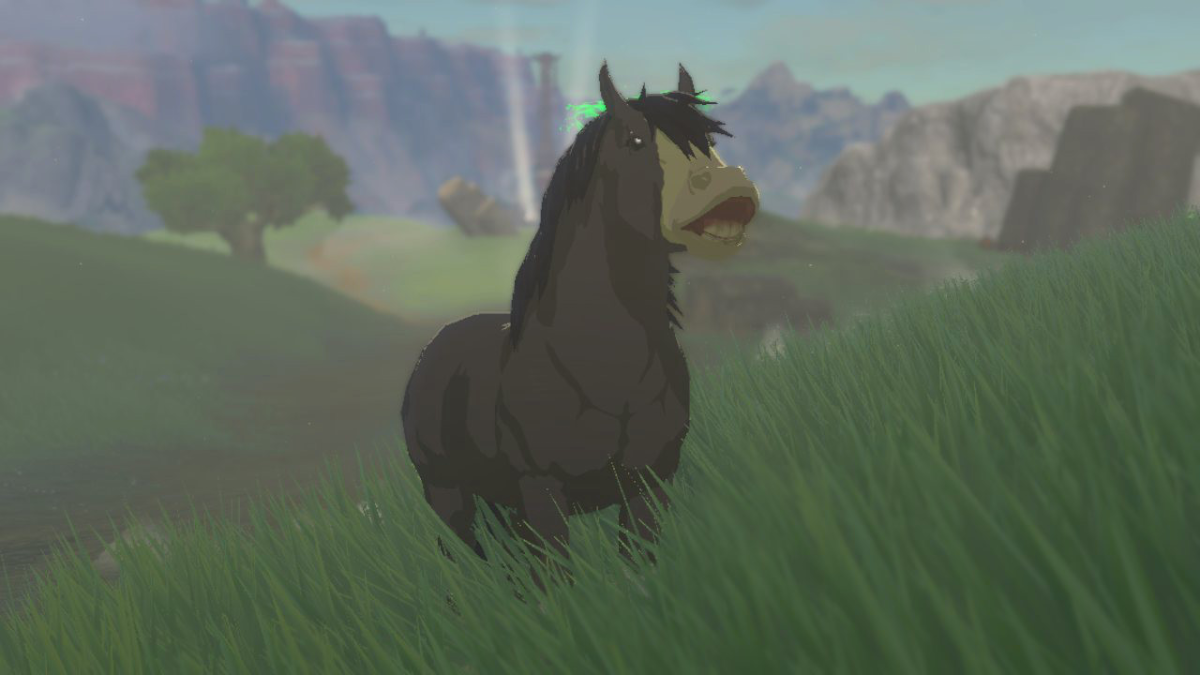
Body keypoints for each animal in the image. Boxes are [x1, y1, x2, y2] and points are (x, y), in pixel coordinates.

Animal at [401, 62, 759, 585]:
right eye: (634, 140)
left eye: (709, 140)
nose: (727, 184)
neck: (604, 369)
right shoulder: (542, 489)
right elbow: (557, 581)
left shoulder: (648, 484)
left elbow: (638, 568)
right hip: (446, 493)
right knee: (460, 560)